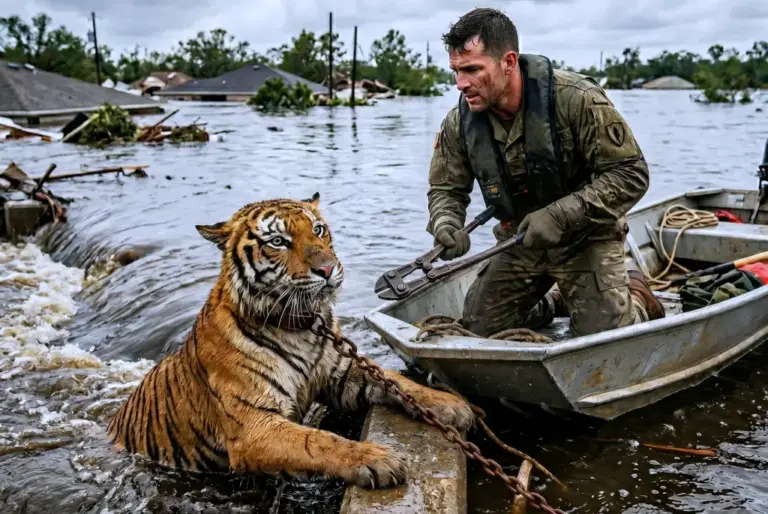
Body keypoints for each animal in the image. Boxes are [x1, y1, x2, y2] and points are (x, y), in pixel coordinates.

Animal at [106, 192, 474, 489]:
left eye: (319, 230)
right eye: (278, 241)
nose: (328, 269)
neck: (301, 327)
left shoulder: (344, 375)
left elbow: (396, 381)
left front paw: (450, 404)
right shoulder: (255, 425)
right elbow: (319, 441)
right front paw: (377, 459)